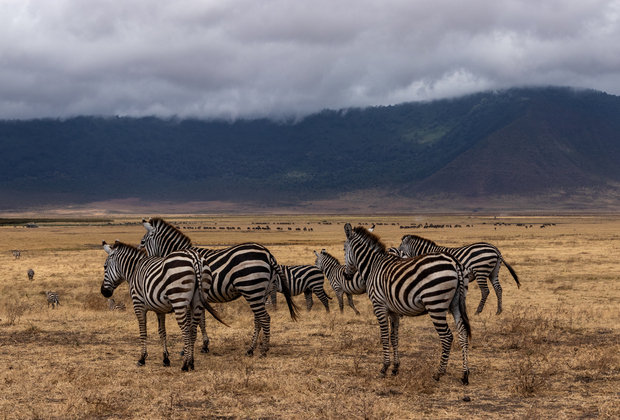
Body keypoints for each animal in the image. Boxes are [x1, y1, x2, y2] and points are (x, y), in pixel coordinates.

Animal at [101, 240, 228, 370]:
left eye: (105, 267)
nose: (104, 292)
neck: (134, 270)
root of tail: (194, 258)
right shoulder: (160, 309)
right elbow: (162, 332)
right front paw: (166, 359)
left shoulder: (138, 305)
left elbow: (143, 331)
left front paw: (142, 358)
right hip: (198, 299)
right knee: (193, 330)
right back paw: (191, 362)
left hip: (179, 300)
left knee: (186, 330)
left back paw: (185, 364)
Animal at [344, 223, 470, 384]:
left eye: (344, 249)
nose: (346, 275)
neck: (372, 266)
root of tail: (454, 262)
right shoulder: (394, 310)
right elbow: (394, 337)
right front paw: (395, 368)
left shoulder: (379, 306)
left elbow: (384, 336)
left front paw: (384, 368)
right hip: (456, 304)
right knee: (463, 333)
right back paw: (465, 375)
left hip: (435, 304)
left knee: (447, 337)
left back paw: (438, 373)